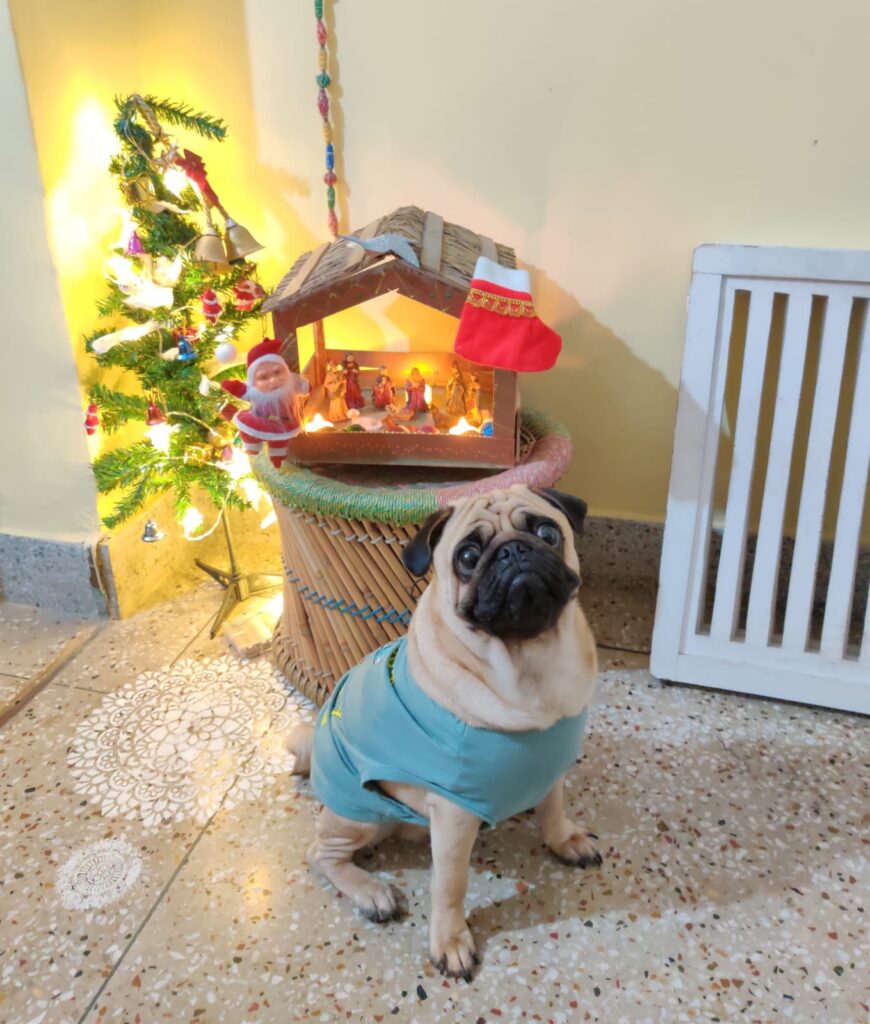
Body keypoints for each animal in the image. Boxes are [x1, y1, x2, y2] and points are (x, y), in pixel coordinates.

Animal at [284, 483, 597, 978]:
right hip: (357, 816)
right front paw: (450, 940)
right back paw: (372, 892)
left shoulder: (551, 770)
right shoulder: (453, 816)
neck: (529, 662)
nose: (513, 551)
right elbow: (450, 886)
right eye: (467, 556)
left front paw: (563, 839)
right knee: (321, 853)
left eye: (548, 533)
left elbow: (552, 810)